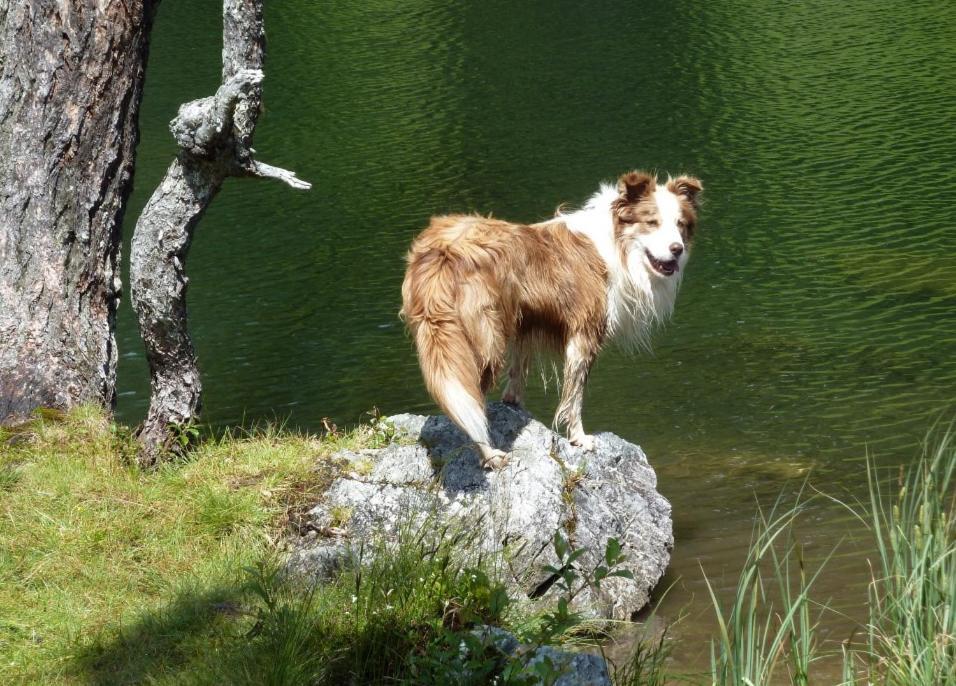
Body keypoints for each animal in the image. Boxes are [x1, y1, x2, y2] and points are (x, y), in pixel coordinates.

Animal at [398, 172, 704, 470]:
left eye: (680, 224)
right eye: (652, 222)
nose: (676, 249)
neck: (615, 245)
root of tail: (441, 251)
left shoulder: (526, 322)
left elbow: (518, 371)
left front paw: (514, 406)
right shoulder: (584, 333)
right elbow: (575, 395)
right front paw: (580, 438)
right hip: (485, 339)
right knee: (470, 397)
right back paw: (489, 456)